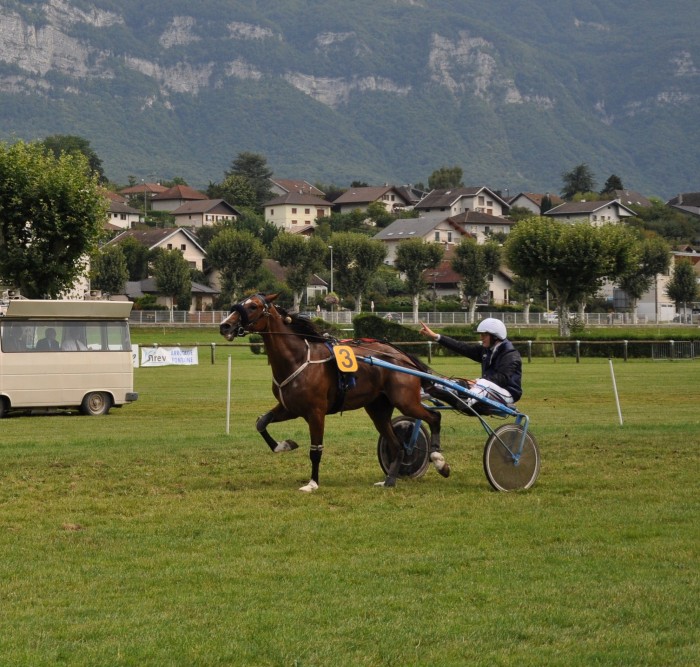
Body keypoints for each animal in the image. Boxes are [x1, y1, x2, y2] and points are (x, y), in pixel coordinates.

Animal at [220, 294, 448, 494]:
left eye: (253, 306)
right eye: (241, 302)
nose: (225, 326)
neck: (296, 358)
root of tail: (402, 356)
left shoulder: (315, 412)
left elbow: (315, 449)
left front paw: (312, 483)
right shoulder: (290, 408)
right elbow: (261, 422)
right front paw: (285, 445)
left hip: (405, 400)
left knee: (434, 417)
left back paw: (439, 460)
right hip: (378, 409)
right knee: (397, 445)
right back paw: (389, 480)